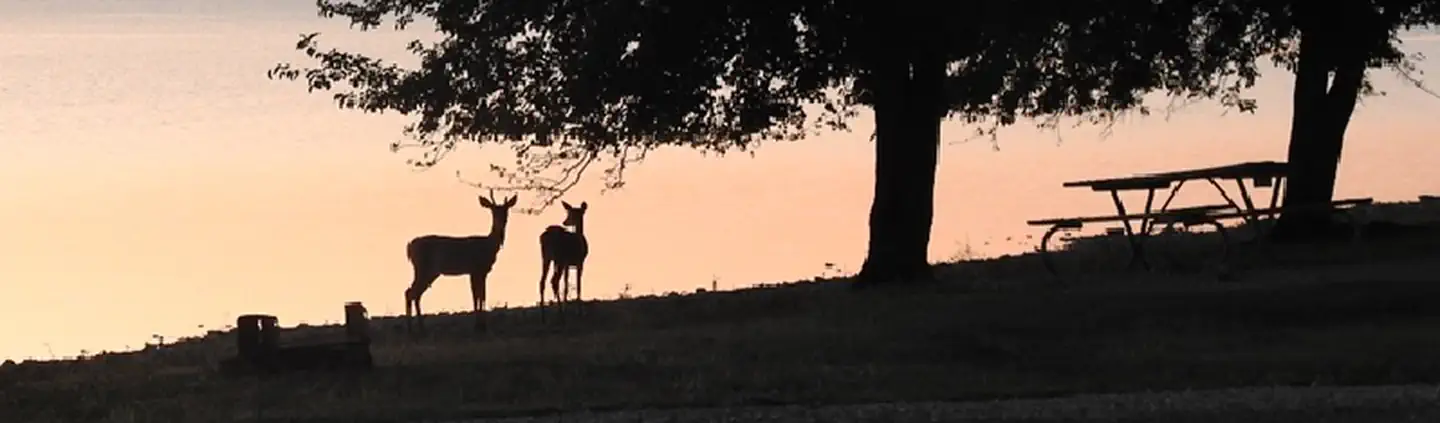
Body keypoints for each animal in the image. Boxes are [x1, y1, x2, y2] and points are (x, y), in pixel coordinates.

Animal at [404, 190, 518, 334]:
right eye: (493, 211)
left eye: (506, 210)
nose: (502, 220)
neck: (488, 246)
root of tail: (409, 246)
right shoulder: (476, 269)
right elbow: (478, 296)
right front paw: (479, 326)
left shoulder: (479, 272)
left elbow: (480, 295)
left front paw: (481, 326)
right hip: (424, 268)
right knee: (411, 292)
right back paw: (416, 329)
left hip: (427, 271)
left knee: (412, 292)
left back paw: (416, 328)